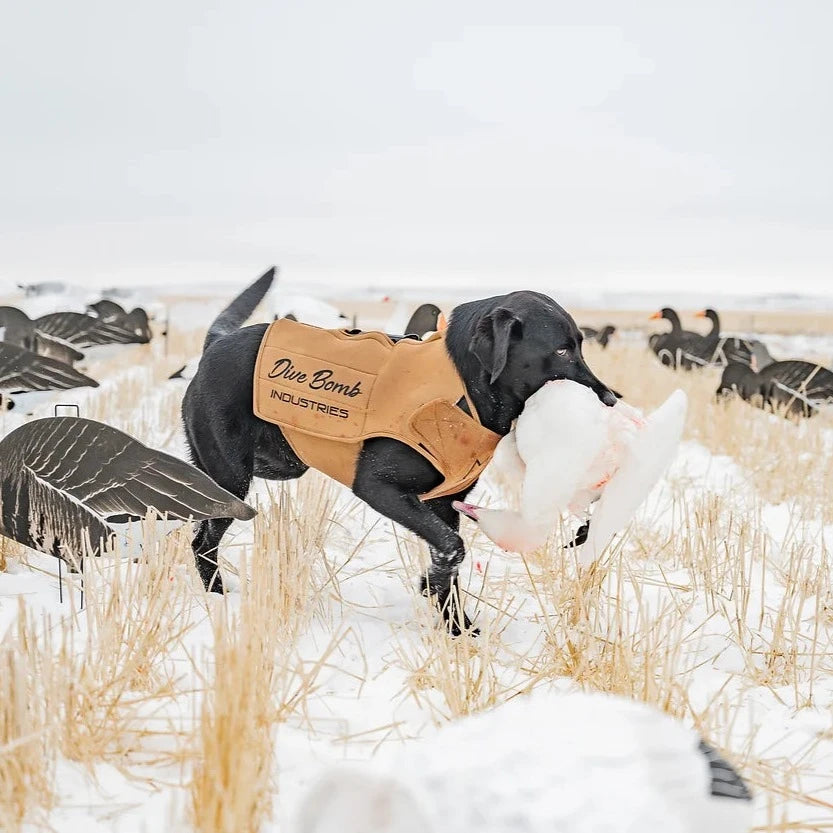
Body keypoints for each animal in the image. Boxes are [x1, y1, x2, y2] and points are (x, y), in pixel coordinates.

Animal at [182, 272, 616, 632]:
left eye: (581, 345)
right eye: (561, 351)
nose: (612, 399)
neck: (464, 389)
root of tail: (215, 343)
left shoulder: (445, 504)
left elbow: (449, 556)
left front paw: (457, 629)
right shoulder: (379, 487)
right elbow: (453, 549)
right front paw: (434, 588)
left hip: (276, 464)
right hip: (232, 479)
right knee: (203, 541)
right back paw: (217, 597)